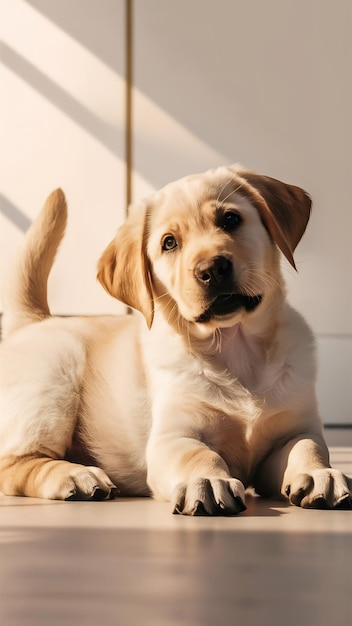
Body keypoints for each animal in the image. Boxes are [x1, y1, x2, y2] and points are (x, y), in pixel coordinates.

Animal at [0, 166, 352, 512]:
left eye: (230, 219)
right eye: (169, 243)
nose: (213, 268)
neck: (236, 347)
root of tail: (34, 320)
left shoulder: (292, 430)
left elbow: (307, 447)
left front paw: (320, 474)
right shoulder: (172, 437)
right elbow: (199, 453)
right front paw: (209, 480)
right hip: (54, 382)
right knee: (14, 464)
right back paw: (76, 475)